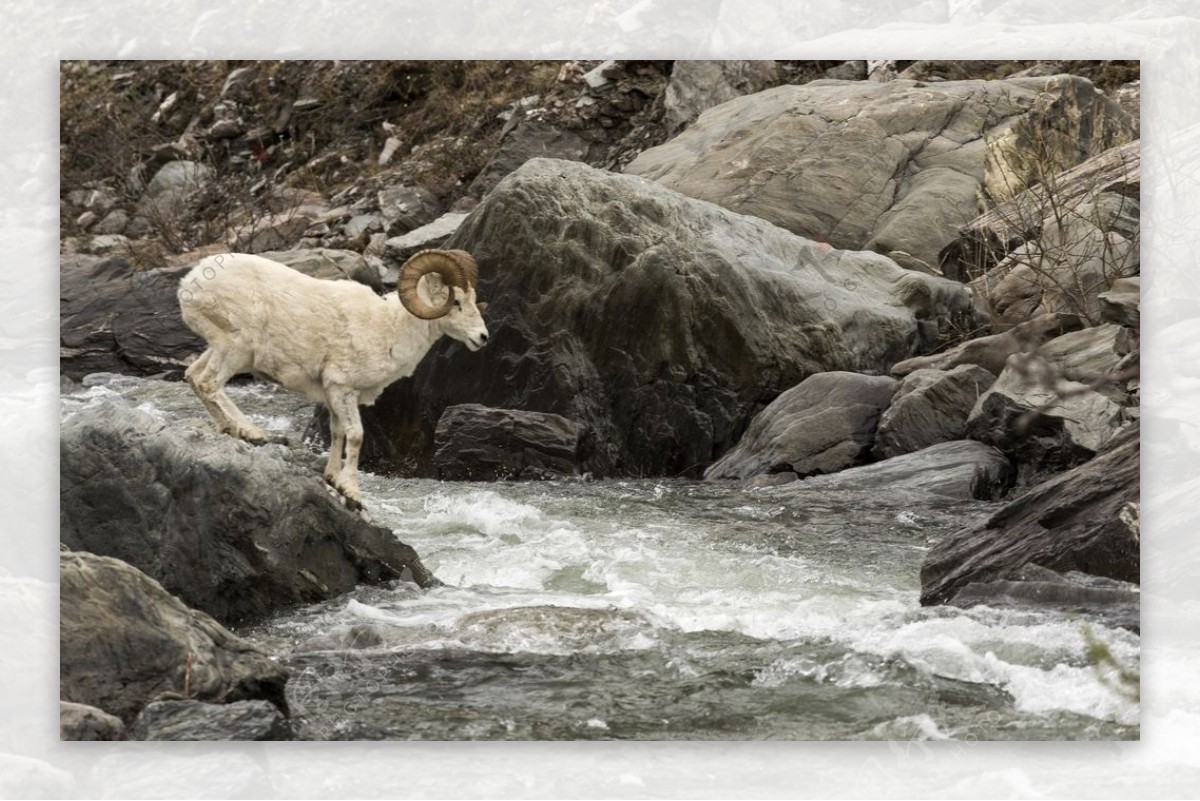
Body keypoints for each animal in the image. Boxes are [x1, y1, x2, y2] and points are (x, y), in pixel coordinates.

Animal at [177, 248, 487, 506]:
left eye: (473, 299)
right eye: (456, 302)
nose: (482, 337)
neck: (389, 328)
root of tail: (190, 284)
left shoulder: (333, 395)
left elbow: (337, 434)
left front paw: (333, 478)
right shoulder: (343, 389)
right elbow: (356, 436)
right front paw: (352, 490)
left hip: (220, 348)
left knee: (193, 376)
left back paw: (230, 429)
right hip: (236, 349)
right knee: (209, 383)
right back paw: (251, 431)